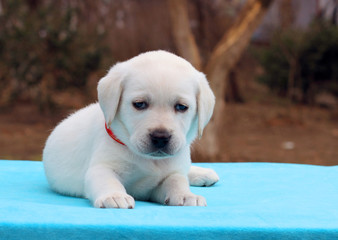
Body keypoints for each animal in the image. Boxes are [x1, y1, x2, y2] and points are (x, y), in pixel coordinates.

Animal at [43, 50, 219, 208]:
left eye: (181, 107)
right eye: (139, 104)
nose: (160, 137)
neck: (148, 160)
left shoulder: (167, 176)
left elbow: (177, 180)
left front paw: (186, 195)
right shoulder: (102, 165)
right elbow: (107, 179)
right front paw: (115, 196)